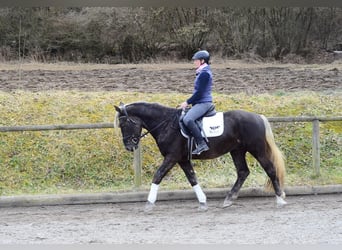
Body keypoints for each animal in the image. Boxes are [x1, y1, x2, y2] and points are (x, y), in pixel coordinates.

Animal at [114, 101, 286, 211]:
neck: (165, 124)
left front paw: (149, 203)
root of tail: (258, 117)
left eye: (124, 124)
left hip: (257, 149)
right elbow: (192, 178)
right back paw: (228, 200)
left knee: (270, 169)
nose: (129, 146)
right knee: (243, 172)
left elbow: (158, 175)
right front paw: (203, 202)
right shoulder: (182, 159)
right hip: (237, 151)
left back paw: (280, 199)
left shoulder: (172, 157)